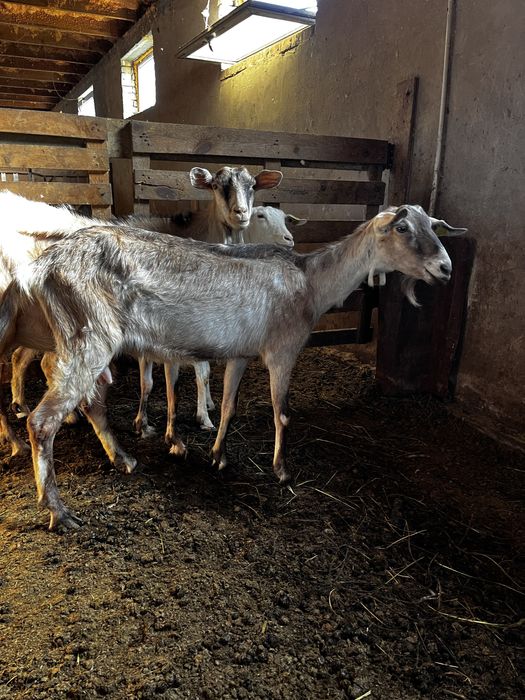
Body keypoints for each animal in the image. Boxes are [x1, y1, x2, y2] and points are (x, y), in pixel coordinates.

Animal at [0, 205, 465, 530]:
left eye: (433, 227)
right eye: (403, 229)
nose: (445, 268)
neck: (310, 283)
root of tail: (39, 268)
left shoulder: (242, 351)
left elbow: (227, 405)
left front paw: (218, 454)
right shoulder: (282, 348)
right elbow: (282, 412)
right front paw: (281, 470)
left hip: (65, 334)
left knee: (82, 397)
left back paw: (124, 459)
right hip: (88, 336)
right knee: (43, 420)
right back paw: (58, 510)